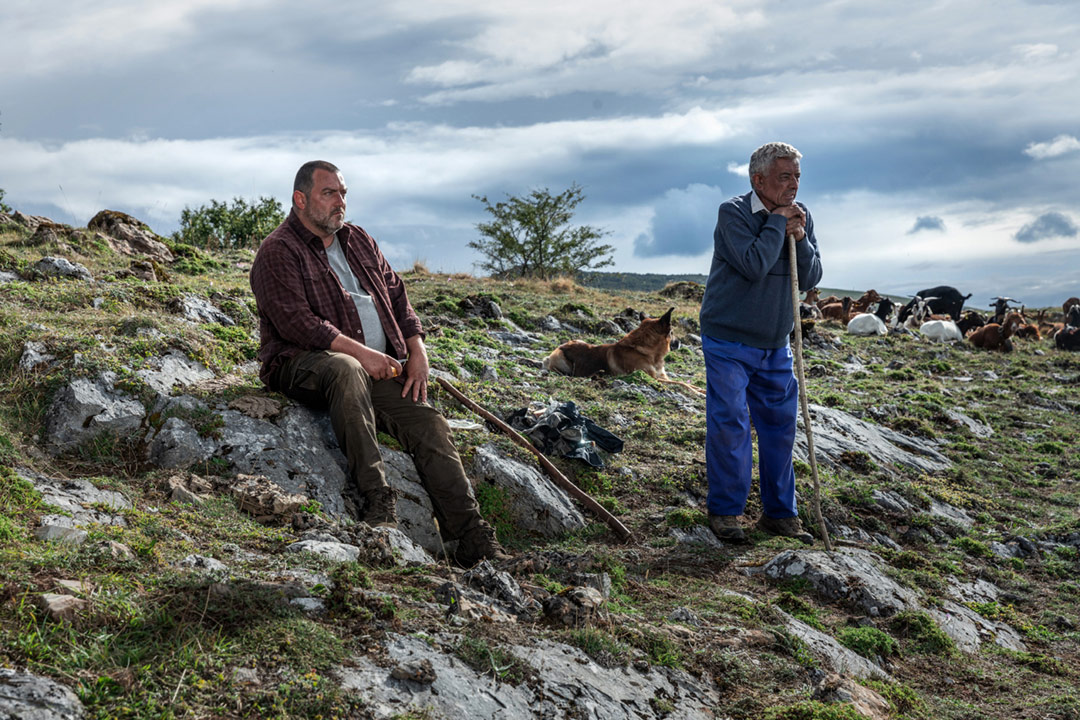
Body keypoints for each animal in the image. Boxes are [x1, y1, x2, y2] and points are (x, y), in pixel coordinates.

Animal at [544, 306, 704, 397]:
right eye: (672, 332)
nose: (680, 343)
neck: (644, 351)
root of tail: (558, 348)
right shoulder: (653, 379)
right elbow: (681, 383)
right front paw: (698, 392)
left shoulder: (662, 377)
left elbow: (686, 383)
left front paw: (700, 390)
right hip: (562, 361)